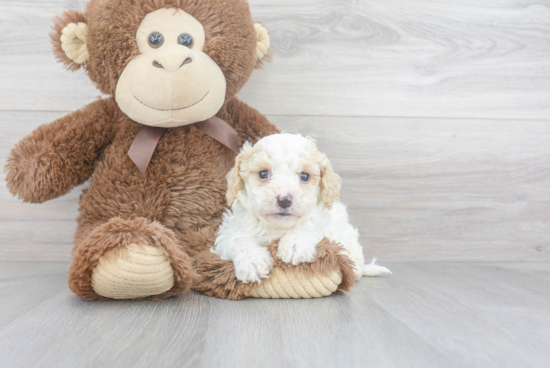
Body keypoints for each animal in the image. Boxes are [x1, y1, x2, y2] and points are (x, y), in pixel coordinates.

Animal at [212, 134, 392, 284]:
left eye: (304, 176)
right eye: (263, 174)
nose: (284, 200)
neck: (278, 228)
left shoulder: (324, 222)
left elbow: (308, 225)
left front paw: (294, 245)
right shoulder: (229, 230)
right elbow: (238, 240)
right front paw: (252, 262)